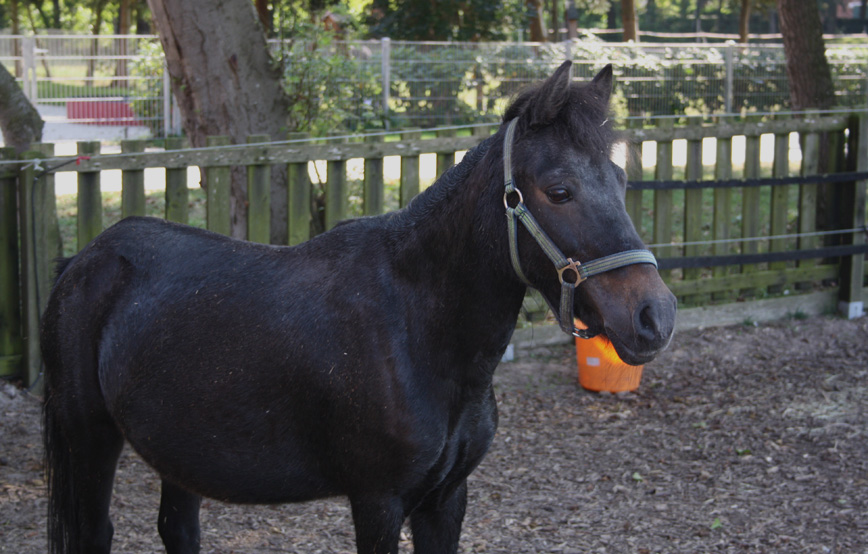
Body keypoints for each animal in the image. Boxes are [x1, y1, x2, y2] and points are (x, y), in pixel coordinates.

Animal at [41, 61, 676, 554]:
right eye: (559, 190)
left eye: (621, 179)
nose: (655, 316)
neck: (418, 331)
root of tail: (86, 258)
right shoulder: (378, 502)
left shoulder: (446, 502)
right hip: (90, 437)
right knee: (95, 533)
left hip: (180, 451)